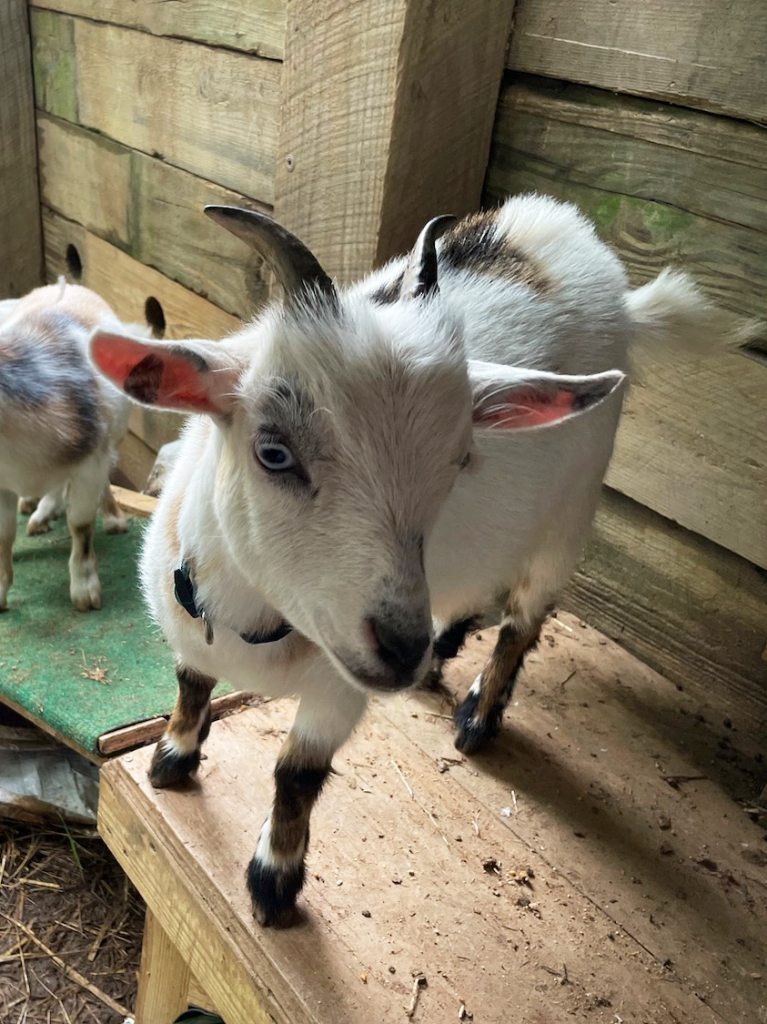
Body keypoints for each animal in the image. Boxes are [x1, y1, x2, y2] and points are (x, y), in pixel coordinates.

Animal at [89, 193, 716, 929]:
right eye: (273, 452)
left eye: (460, 461)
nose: (398, 646)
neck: (253, 620)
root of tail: (573, 235)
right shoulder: (191, 633)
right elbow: (190, 687)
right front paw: (172, 758)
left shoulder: (338, 692)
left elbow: (296, 773)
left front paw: (273, 883)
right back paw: (442, 649)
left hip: (574, 508)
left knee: (524, 617)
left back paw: (477, 715)